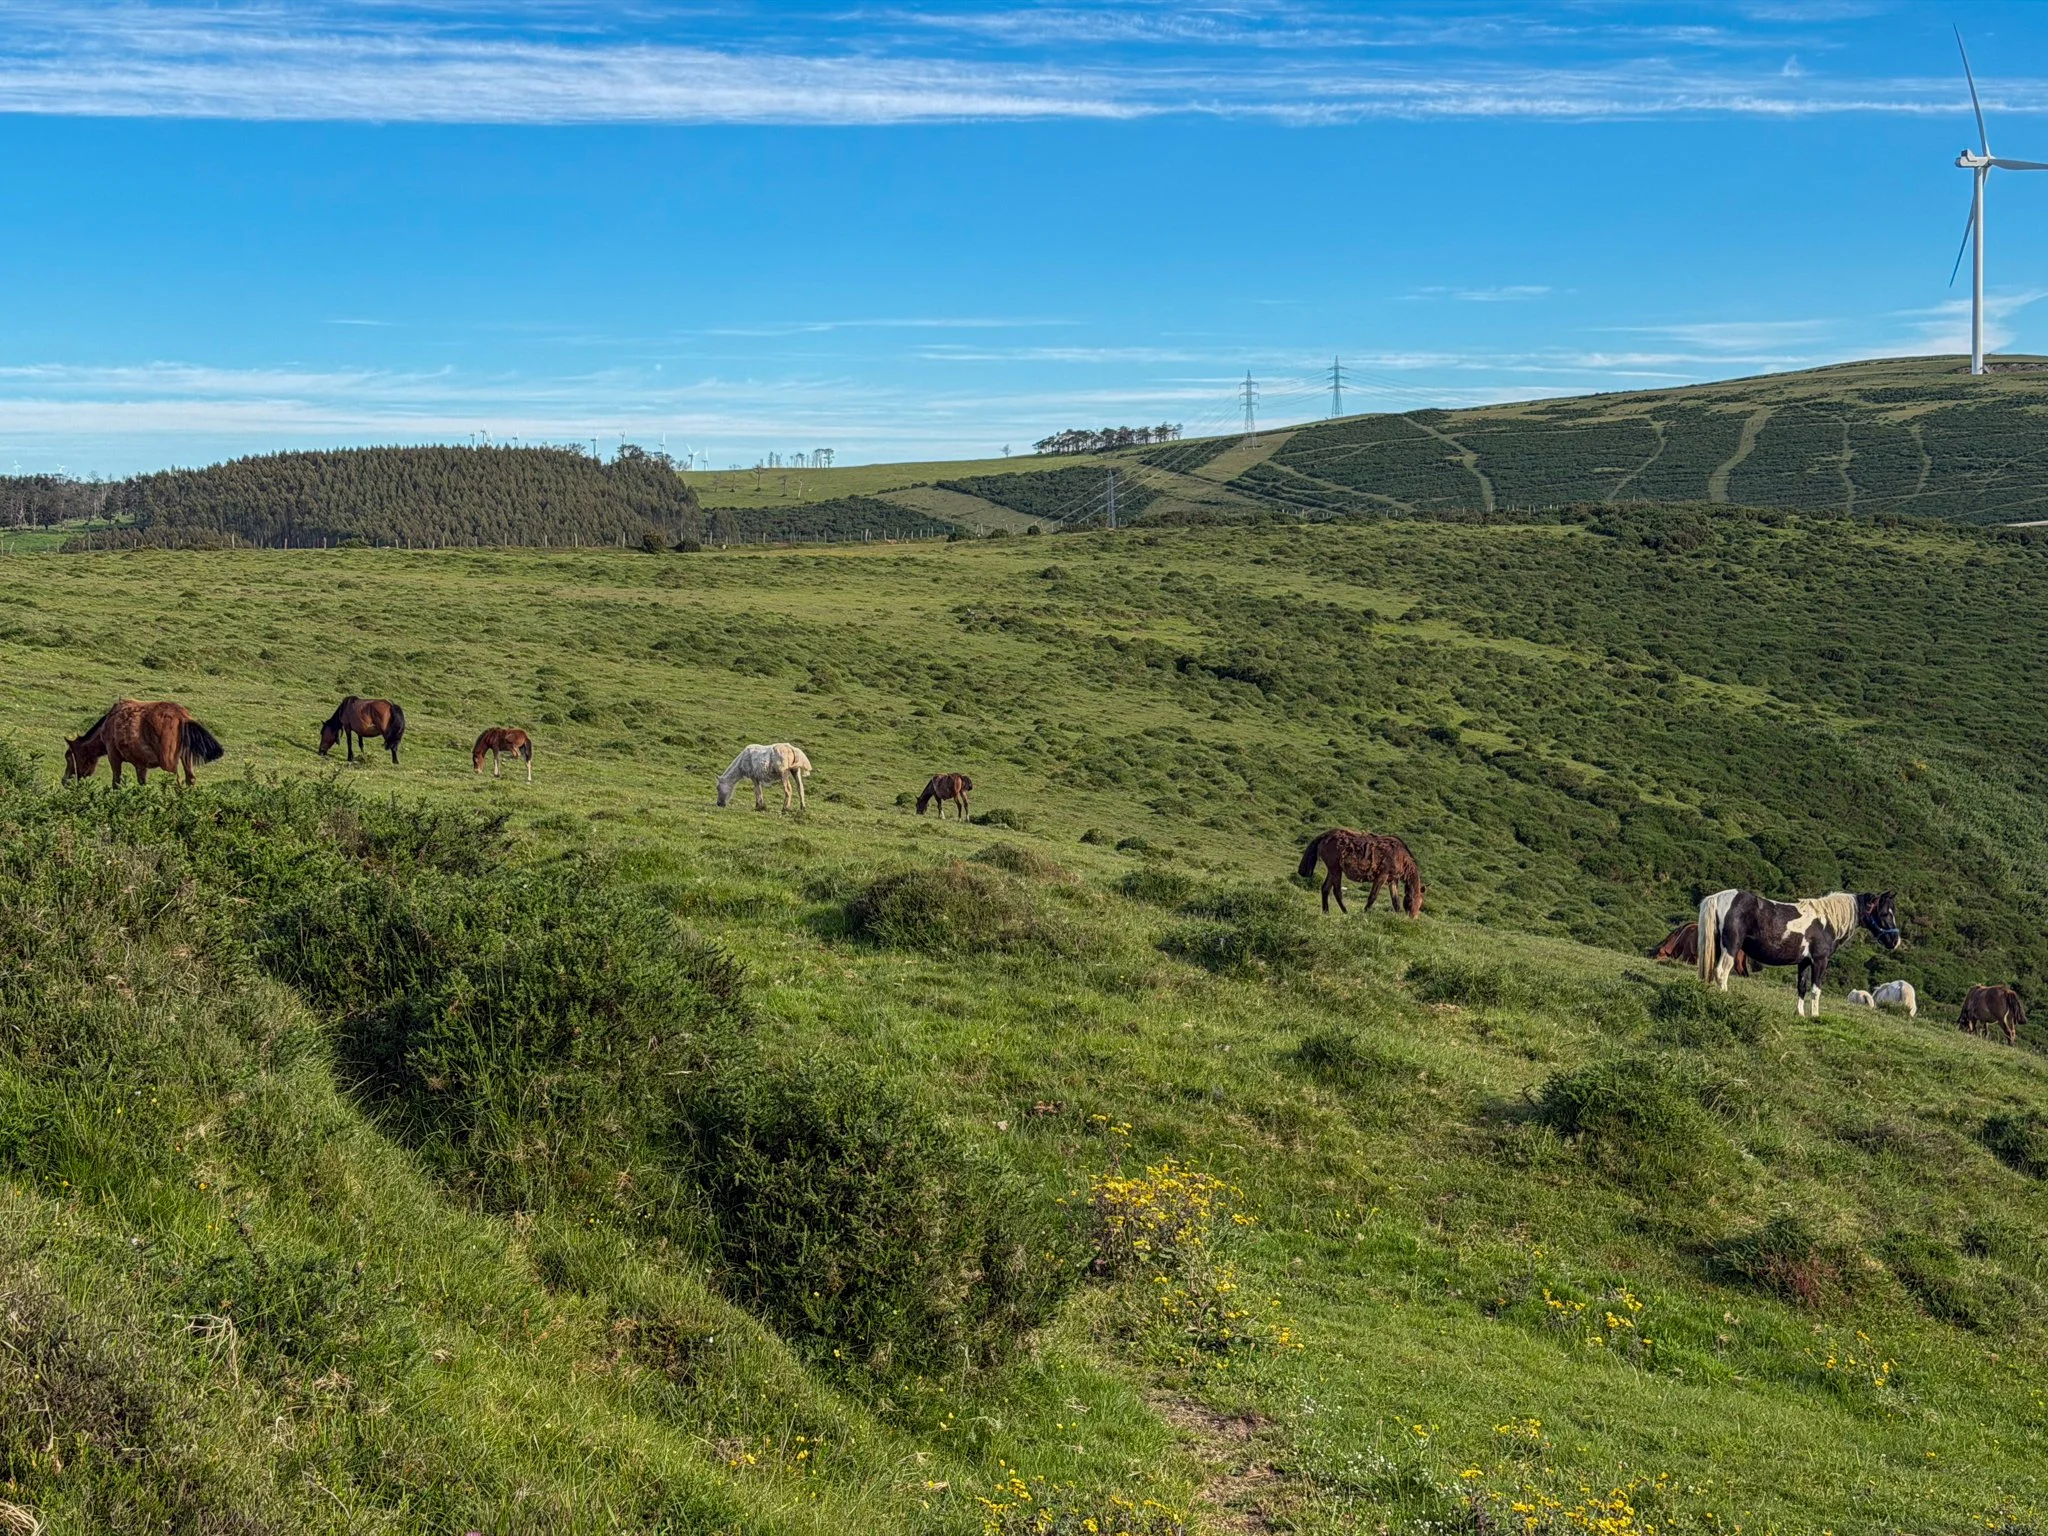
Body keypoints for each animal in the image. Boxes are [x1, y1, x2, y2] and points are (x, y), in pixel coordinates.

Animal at [63, 700, 224, 786]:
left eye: (69, 757)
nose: (64, 781)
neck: (108, 724)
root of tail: (182, 716)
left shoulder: (113, 756)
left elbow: (116, 782)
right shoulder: (141, 765)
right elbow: (142, 784)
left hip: (169, 763)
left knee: (177, 782)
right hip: (186, 757)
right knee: (191, 779)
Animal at [1697, 888, 1901, 1016]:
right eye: (1885, 913)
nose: (1895, 941)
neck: (1826, 922)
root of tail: (1719, 897)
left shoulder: (1804, 962)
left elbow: (1801, 987)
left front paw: (1800, 1014)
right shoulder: (1820, 961)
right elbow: (1816, 990)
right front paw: (1815, 1016)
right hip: (1730, 948)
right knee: (1721, 972)